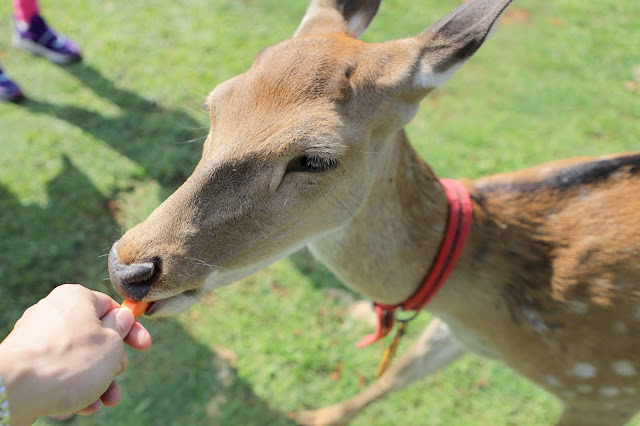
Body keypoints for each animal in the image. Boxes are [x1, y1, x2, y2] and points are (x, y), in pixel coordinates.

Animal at [107, 0, 640, 424]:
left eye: (316, 159)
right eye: (214, 105)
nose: (128, 268)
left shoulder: (602, 390)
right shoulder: (455, 334)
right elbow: (396, 375)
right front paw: (311, 416)